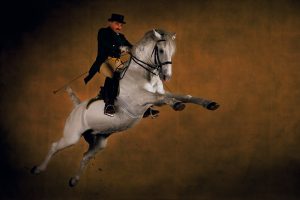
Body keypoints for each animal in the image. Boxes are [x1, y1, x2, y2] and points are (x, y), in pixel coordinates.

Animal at [30, 28, 219, 187]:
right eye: (161, 50)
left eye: (172, 51)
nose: (167, 76)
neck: (144, 75)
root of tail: (78, 107)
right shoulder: (142, 99)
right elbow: (163, 98)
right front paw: (177, 105)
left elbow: (184, 95)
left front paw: (209, 103)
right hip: (72, 136)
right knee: (55, 146)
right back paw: (38, 169)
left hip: (100, 141)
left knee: (85, 156)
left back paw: (74, 180)